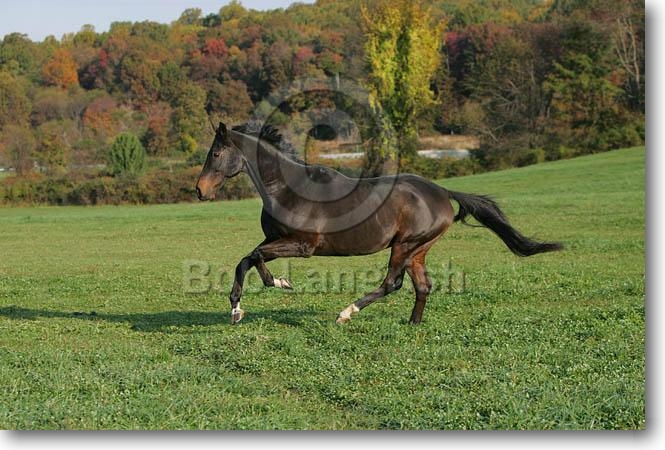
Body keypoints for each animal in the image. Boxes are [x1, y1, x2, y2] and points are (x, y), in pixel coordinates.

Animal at [197, 123, 560, 326]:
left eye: (215, 154)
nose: (199, 190)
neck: (287, 189)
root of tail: (442, 192)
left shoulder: (303, 246)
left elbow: (253, 258)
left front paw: (272, 288)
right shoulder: (276, 240)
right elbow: (247, 260)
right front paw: (240, 308)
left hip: (404, 245)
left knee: (392, 284)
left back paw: (346, 313)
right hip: (418, 249)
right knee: (422, 286)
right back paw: (412, 325)